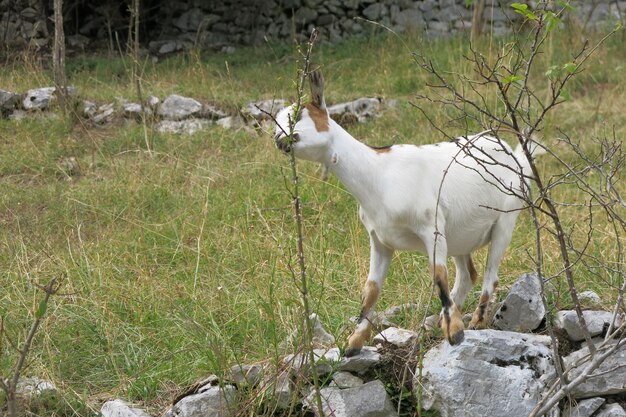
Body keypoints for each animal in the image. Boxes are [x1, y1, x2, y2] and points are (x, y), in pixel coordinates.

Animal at [272, 70, 540, 356]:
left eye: (298, 114)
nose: (278, 139)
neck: (378, 175)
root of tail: (512, 153)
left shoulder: (431, 227)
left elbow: (439, 276)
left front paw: (455, 333)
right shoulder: (380, 241)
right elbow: (371, 289)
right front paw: (354, 342)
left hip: (506, 217)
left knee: (491, 273)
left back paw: (476, 321)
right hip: (458, 236)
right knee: (468, 274)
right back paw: (439, 321)